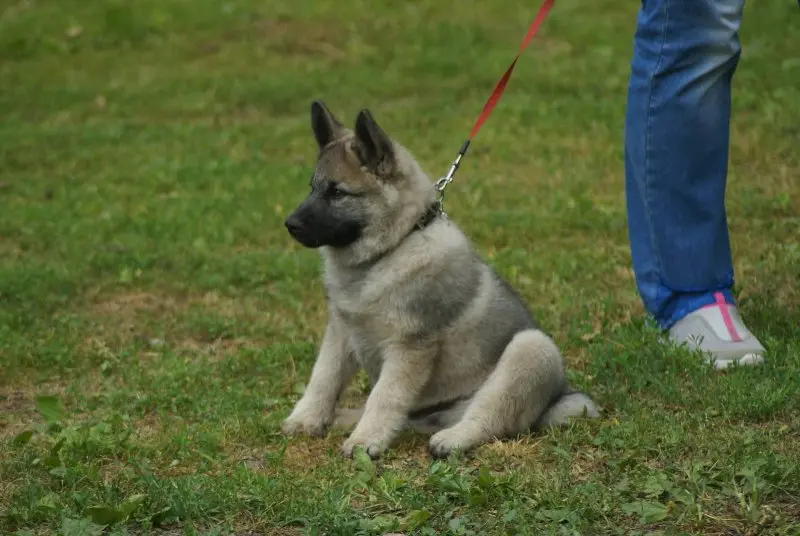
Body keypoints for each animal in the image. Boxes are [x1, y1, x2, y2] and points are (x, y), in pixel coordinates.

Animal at [282, 98, 600, 458]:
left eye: (337, 193)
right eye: (312, 188)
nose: (290, 224)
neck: (392, 249)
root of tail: (556, 400)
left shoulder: (410, 347)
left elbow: (384, 396)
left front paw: (365, 442)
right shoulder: (341, 330)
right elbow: (323, 377)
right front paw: (306, 419)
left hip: (532, 349)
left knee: (489, 416)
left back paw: (452, 438)